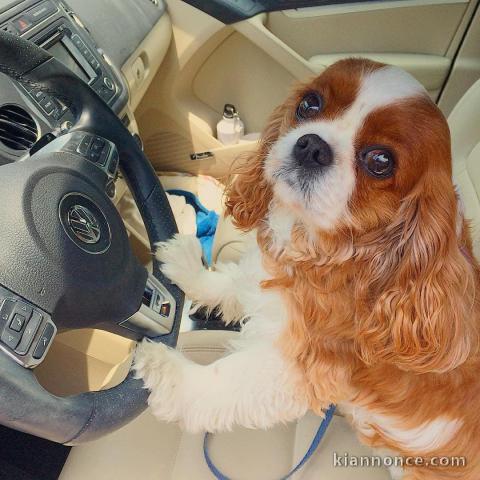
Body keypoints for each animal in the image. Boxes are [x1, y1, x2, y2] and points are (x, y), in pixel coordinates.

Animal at [134, 60, 480, 480]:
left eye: (380, 162)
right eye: (309, 104)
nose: (313, 146)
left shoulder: (301, 363)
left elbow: (225, 378)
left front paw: (168, 371)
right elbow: (232, 283)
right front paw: (188, 268)